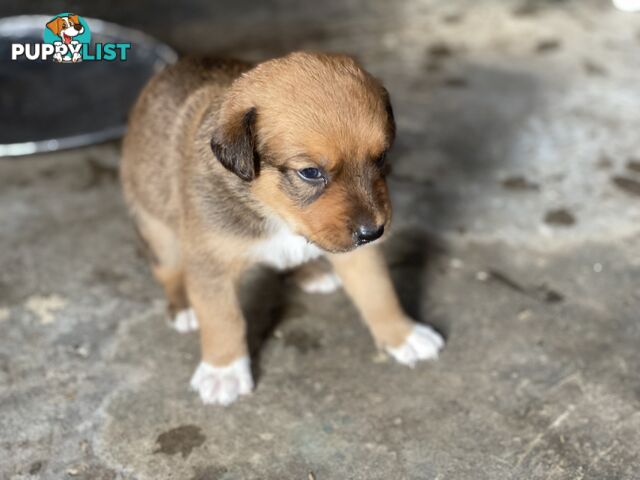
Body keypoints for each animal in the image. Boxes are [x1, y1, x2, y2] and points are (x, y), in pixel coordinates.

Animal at [120, 52, 442, 404]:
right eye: (310, 172)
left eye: (381, 157)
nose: (373, 233)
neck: (278, 215)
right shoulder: (210, 261)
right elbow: (222, 318)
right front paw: (223, 370)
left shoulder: (359, 254)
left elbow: (378, 290)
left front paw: (403, 333)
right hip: (159, 232)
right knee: (168, 271)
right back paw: (183, 307)